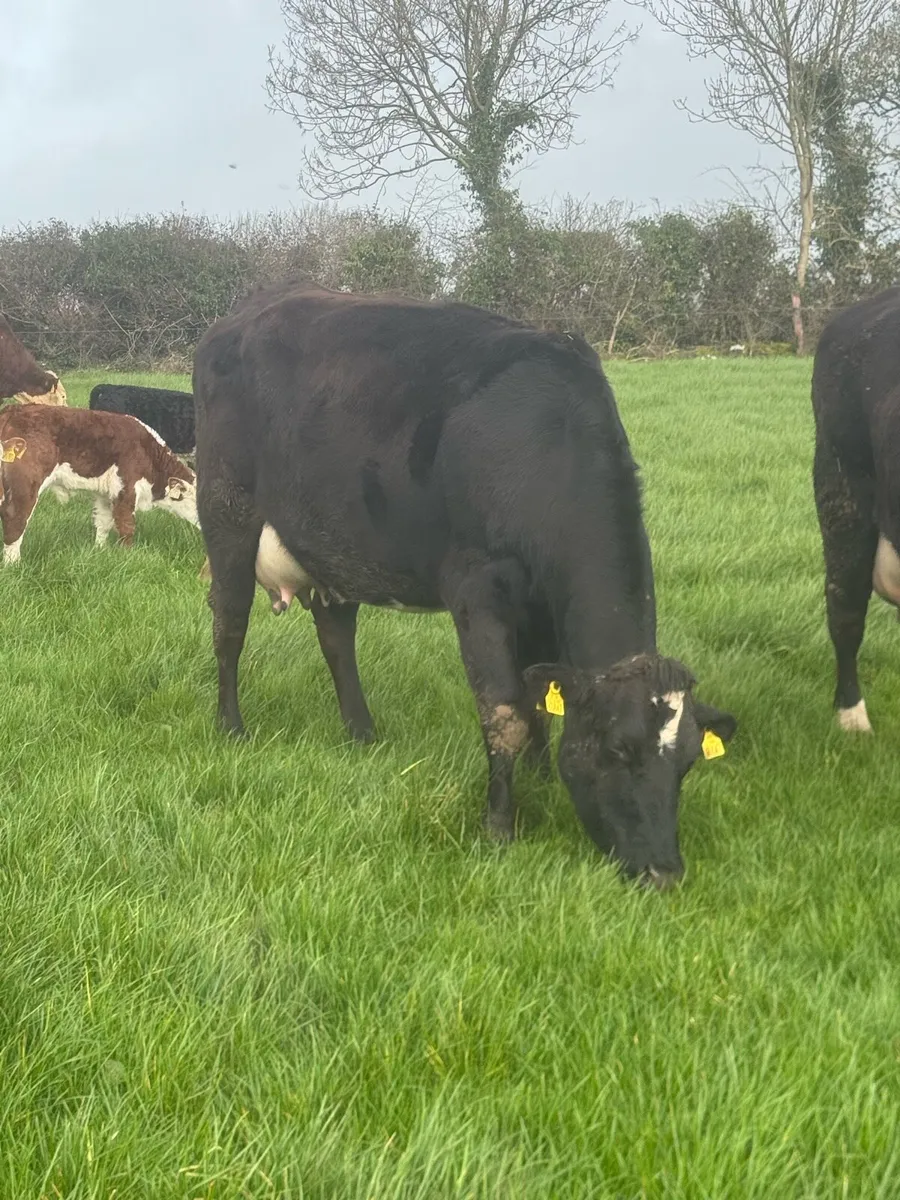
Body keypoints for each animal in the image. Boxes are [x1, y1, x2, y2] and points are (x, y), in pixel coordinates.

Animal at [0, 404, 198, 564]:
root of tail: (12, 410)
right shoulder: (126, 488)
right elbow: (126, 526)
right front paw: (127, 556)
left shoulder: (105, 494)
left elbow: (103, 522)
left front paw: (99, 551)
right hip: (24, 486)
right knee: (15, 521)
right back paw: (13, 565)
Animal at [193, 278, 737, 889]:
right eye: (620, 749)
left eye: (688, 761)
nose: (664, 872)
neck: (544, 445)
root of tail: (246, 311)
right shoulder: (479, 592)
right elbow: (505, 713)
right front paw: (499, 826)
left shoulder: (540, 606)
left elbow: (536, 697)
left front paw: (540, 779)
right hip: (226, 509)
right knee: (230, 625)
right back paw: (232, 727)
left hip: (333, 540)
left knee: (336, 637)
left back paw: (362, 734)